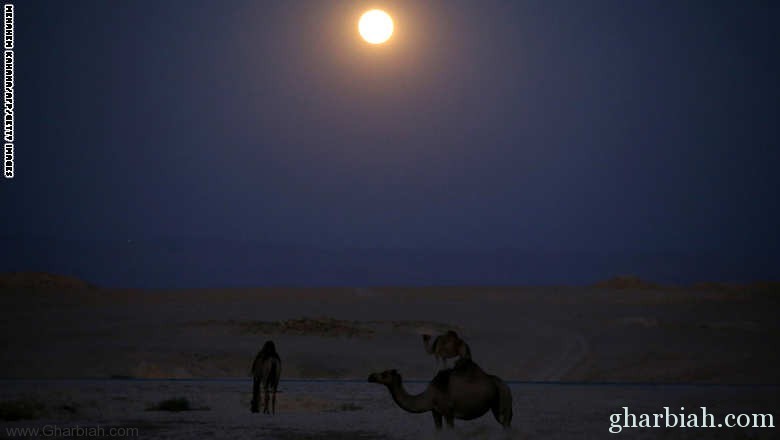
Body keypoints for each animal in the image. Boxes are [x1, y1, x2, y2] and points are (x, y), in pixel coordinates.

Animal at [370, 358, 516, 430]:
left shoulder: (448, 412)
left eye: (384, 374)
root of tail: (506, 386)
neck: (429, 396)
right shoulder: (435, 412)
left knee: (506, 424)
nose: (370, 376)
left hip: (503, 401)